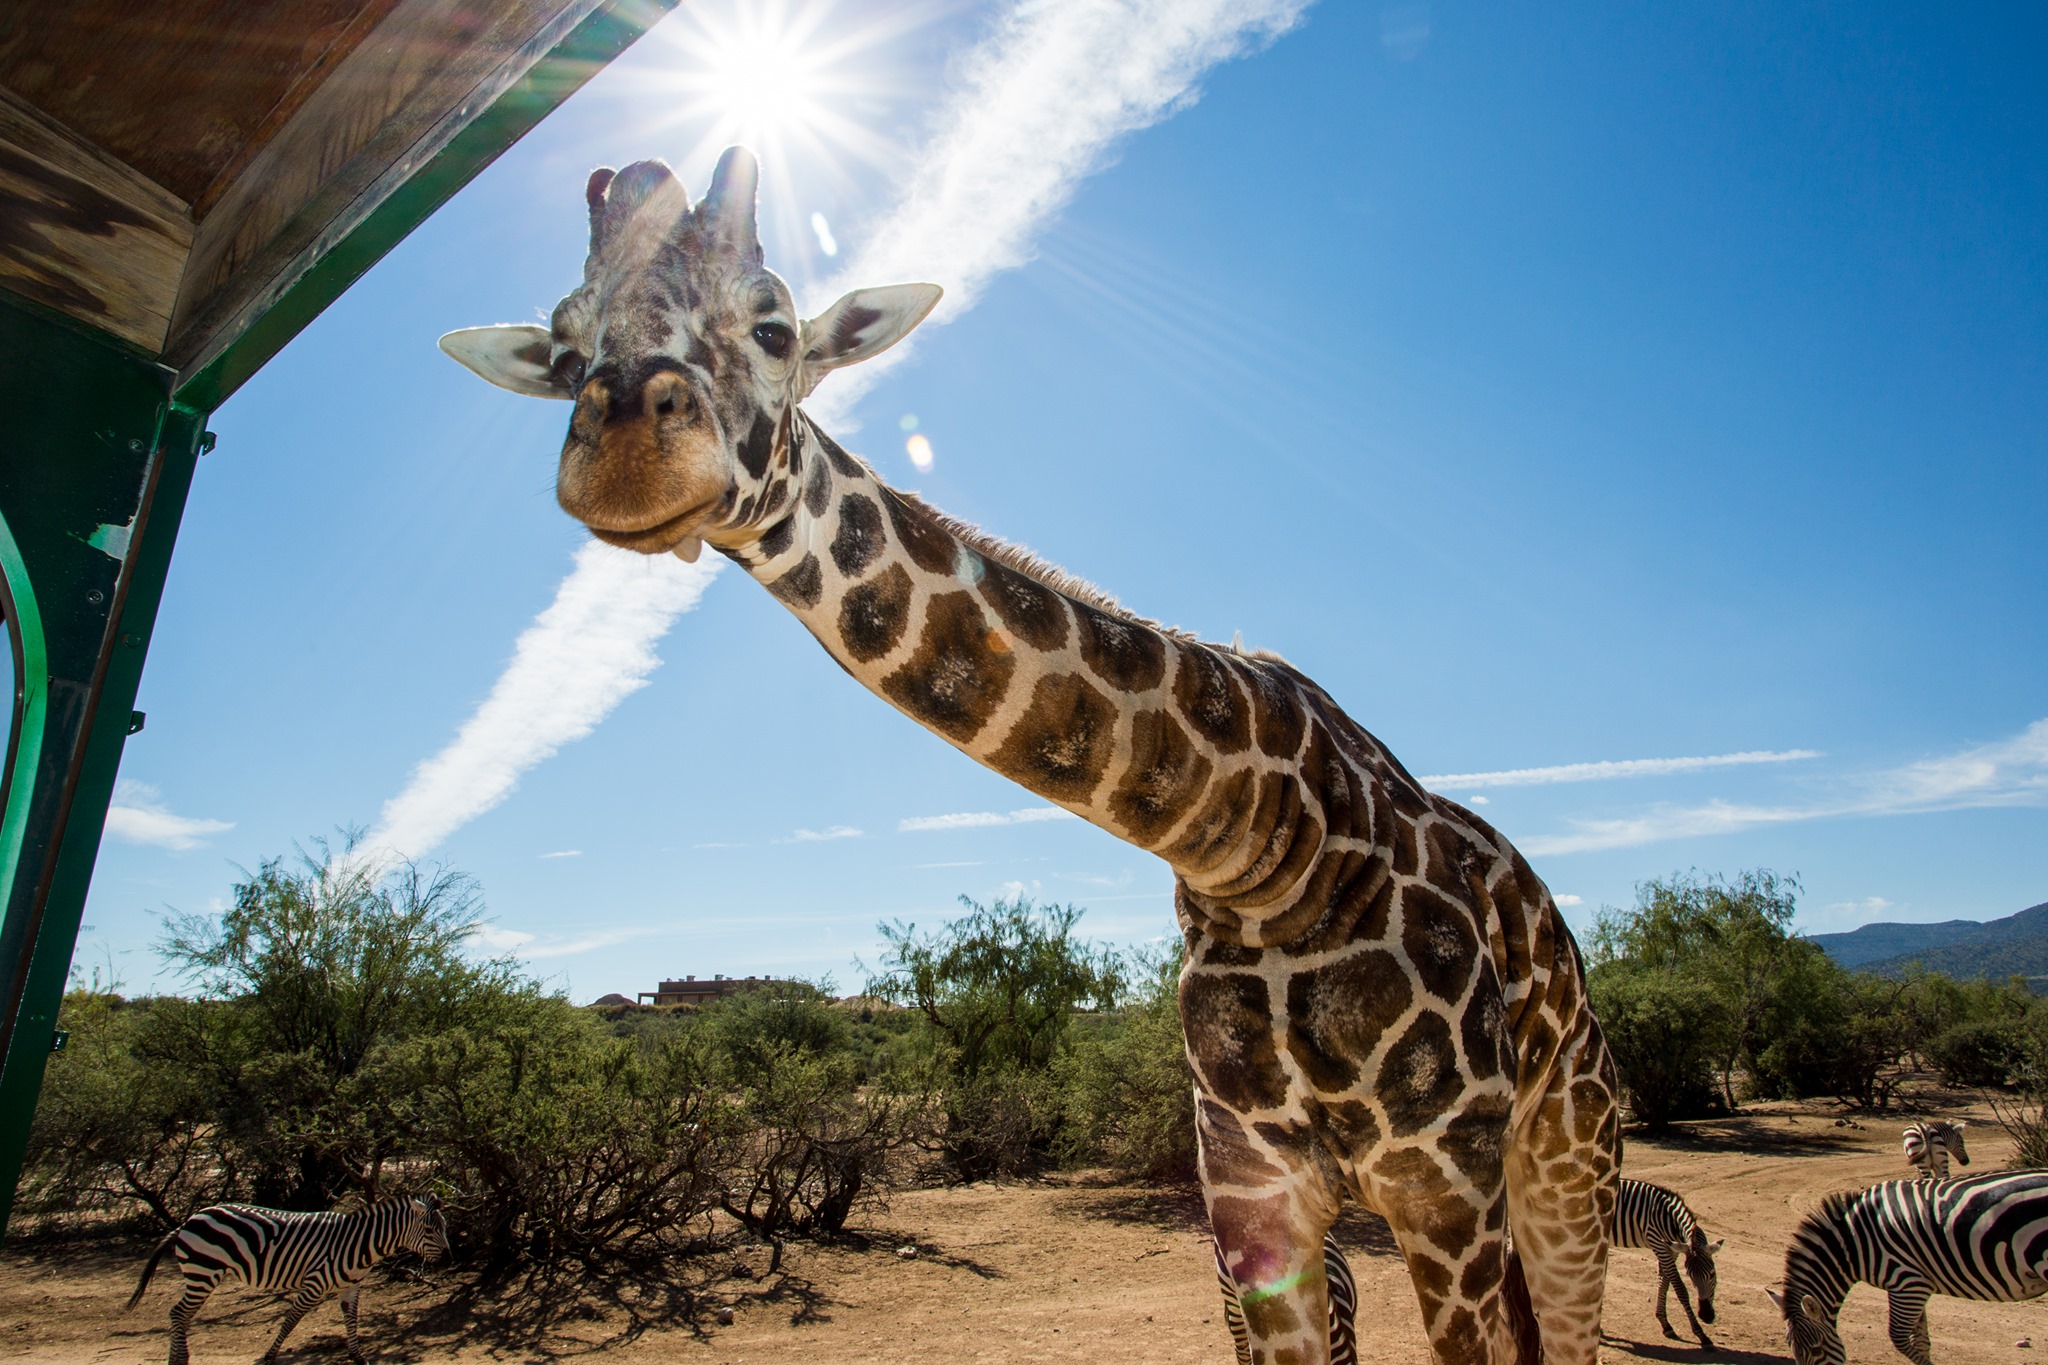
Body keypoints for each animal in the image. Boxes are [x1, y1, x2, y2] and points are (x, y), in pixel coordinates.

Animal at [440, 147, 1621, 1365]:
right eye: (564, 348)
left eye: (772, 325)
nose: (626, 455)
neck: (1264, 847)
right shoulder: (1249, 1182)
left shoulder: (1444, 1181)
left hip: (1564, 1157)